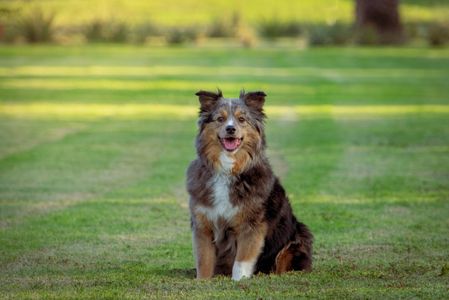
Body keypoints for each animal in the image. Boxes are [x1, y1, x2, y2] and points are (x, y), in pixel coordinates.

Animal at [186, 89, 312, 282]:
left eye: (241, 119)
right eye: (220, 119)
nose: (230, 129)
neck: (228, 170)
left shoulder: (251, 226)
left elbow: (241, 262)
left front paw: (239, 281)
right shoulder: (202, 225)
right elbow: (204, 261)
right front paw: (202, 282)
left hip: (299, 237)